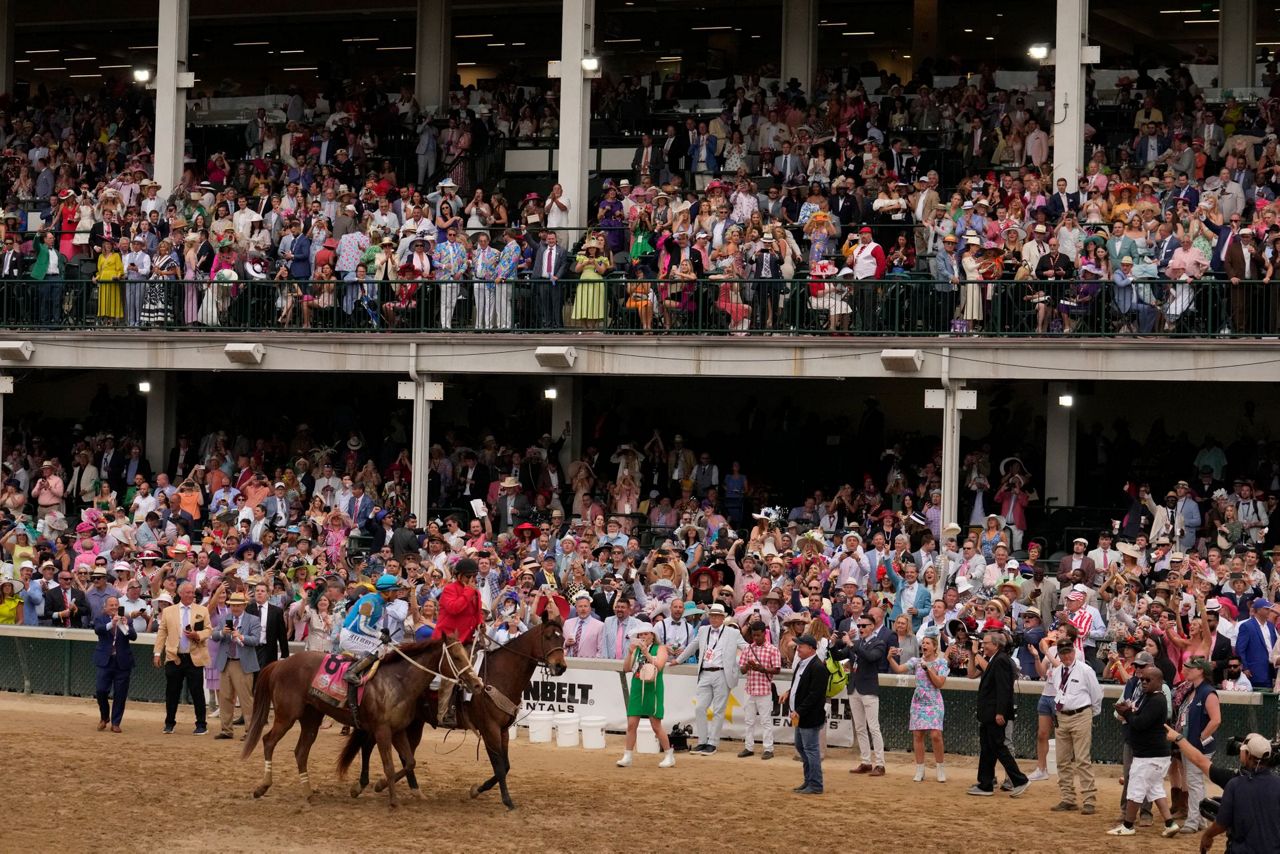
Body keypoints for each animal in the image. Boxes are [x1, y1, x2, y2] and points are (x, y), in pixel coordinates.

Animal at [238, 637, 481, 814]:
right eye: (457, 657)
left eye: (467, 654)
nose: (477, 684)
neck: (398, 681)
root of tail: (280, 663)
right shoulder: (382, 730)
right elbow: (389, 765)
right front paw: (393, 800)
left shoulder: (398, 730)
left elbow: (410, 761)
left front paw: (380, 785)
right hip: (287, 715)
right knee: (268, 741)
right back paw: (262, 787)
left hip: (311, 718)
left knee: (301, 751)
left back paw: (307, 793)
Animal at [340, 622, 565, 809]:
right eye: (548, 637)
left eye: (562, 638)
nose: (561, 666)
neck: (499, 675)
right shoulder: (489, 729)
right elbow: (500, 766)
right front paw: (507, 801)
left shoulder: (503, 730)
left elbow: (506, 765)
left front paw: (477, 790)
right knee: (369, 746)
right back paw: (363, 785)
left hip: (411, 724)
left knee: (404, 756)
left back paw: (410, 789)